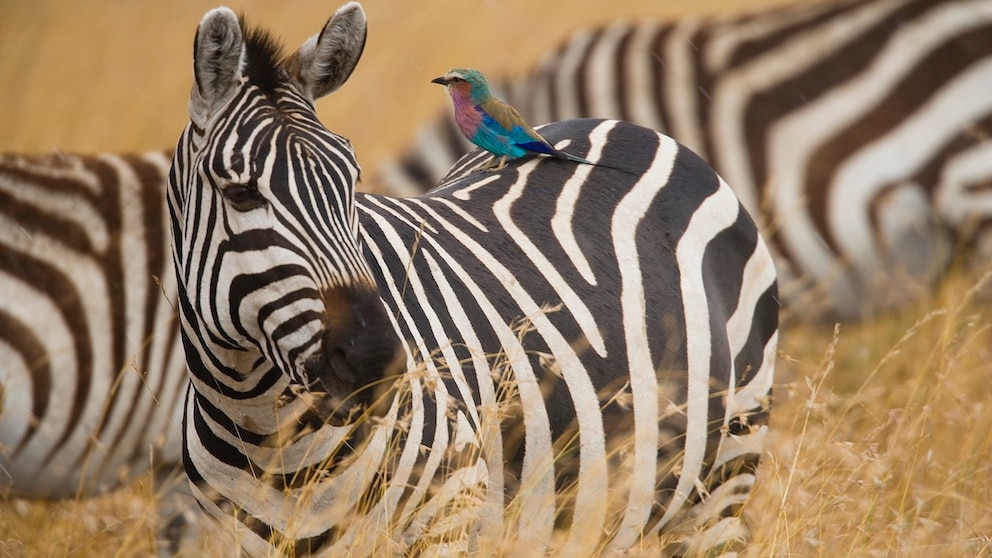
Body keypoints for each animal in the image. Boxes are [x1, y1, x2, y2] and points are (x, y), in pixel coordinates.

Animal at [169, 3, 778, 556]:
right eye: (240, 193)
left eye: (351, 182)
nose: (381, 364)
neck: (269, 431)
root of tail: (627, 126)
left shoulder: (449, 517)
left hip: (727, 468)